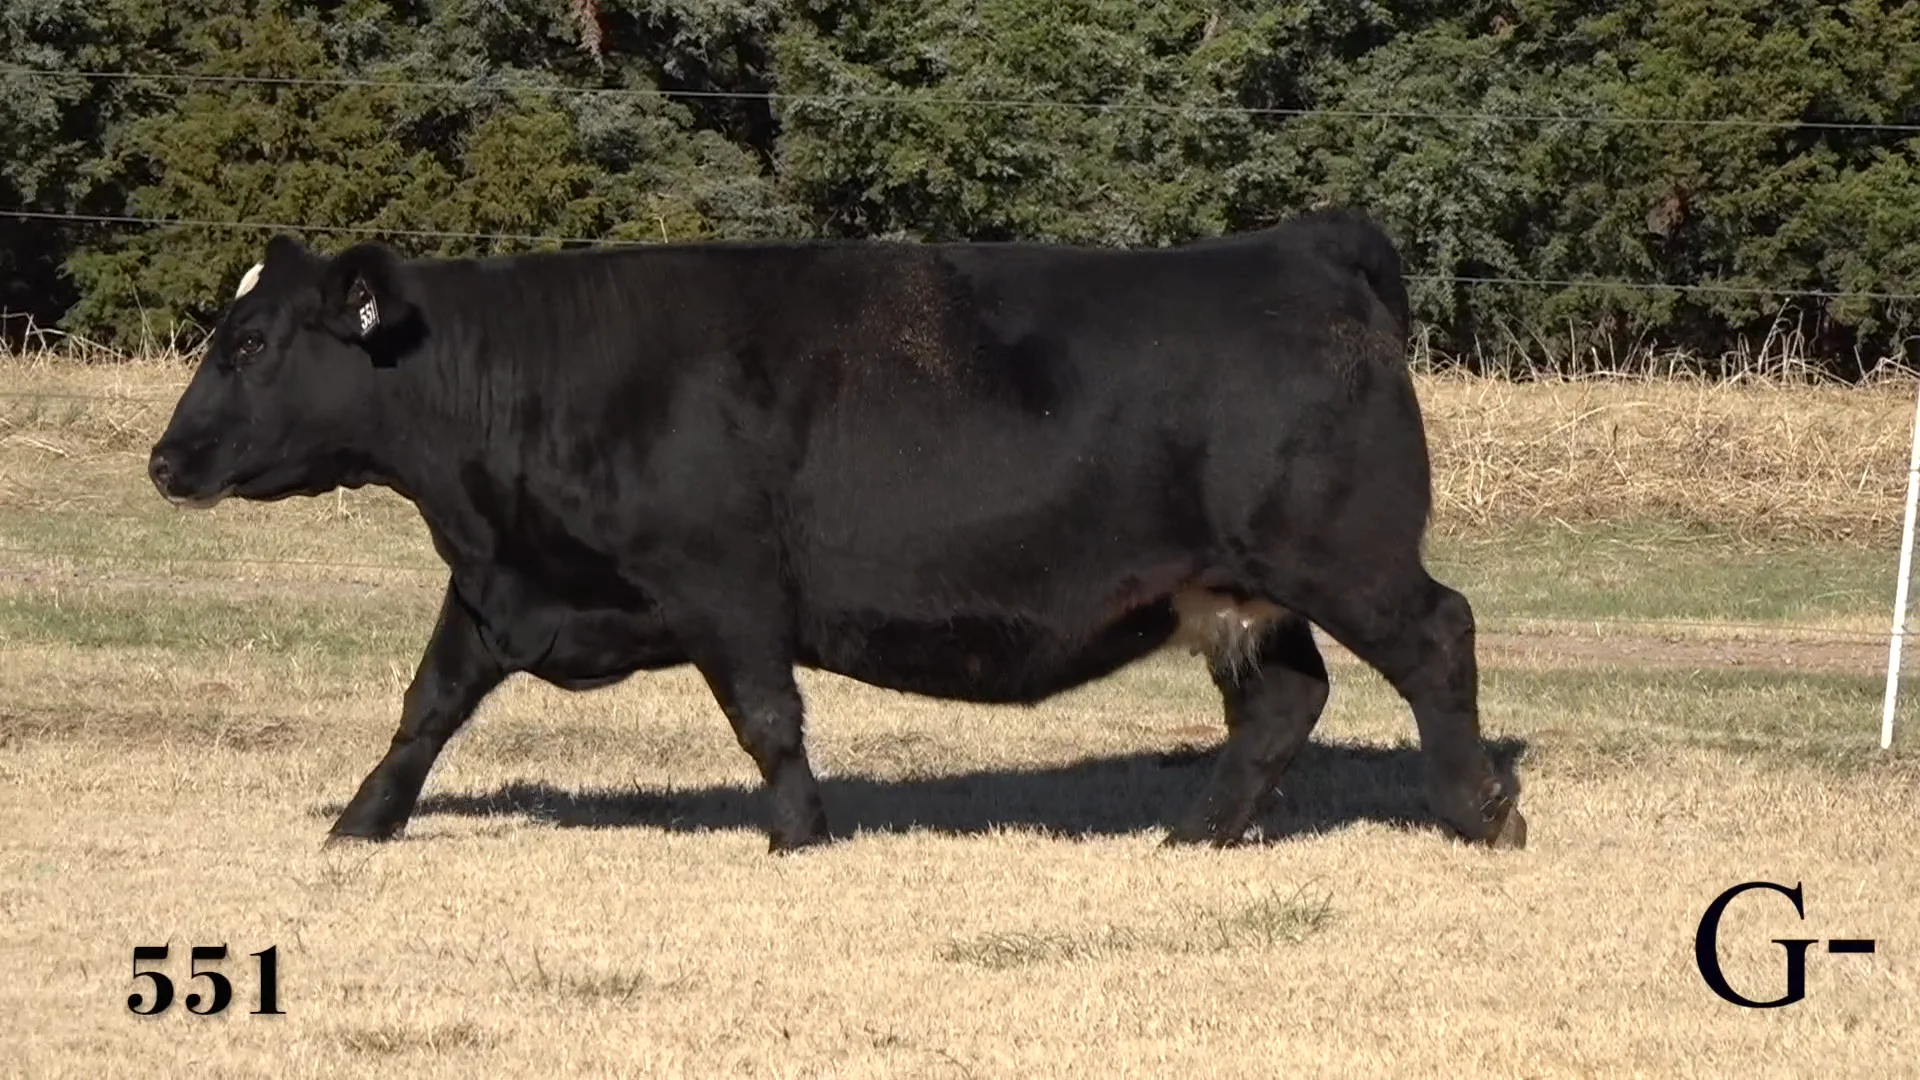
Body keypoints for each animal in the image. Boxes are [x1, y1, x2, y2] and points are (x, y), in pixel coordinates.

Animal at [145, 208, 1528, 849]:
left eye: (251, 342)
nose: (165, 459)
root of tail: (1299, 246)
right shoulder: (501, 585)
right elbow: (425, 708)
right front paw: (361, 822)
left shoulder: (727, 585)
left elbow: (768, 717)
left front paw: (802, 835)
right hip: (1237, 586)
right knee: (1284, 700)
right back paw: (1193, 835)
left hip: (1343, 557)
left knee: (1438, 638)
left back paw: (1477, 809)